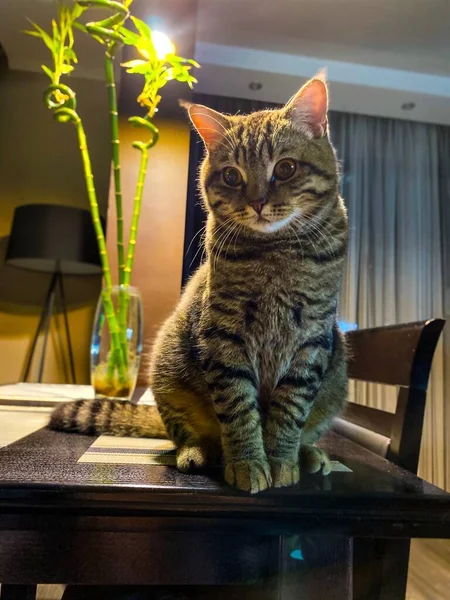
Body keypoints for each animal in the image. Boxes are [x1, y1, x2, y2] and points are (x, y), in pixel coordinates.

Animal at [51, 75, 348, 494]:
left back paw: (310, 454)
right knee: (186, 433)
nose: (257, 201)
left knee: (309, 426)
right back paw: (197, 452)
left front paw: (281, 460)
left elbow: (290, 410)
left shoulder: (312, 340)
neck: (276, 253)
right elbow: (238, 409)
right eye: (231, 176)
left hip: (337, 376)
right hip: (167, 372)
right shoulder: (223, 335)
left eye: (286, 168)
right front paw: (249, 463)